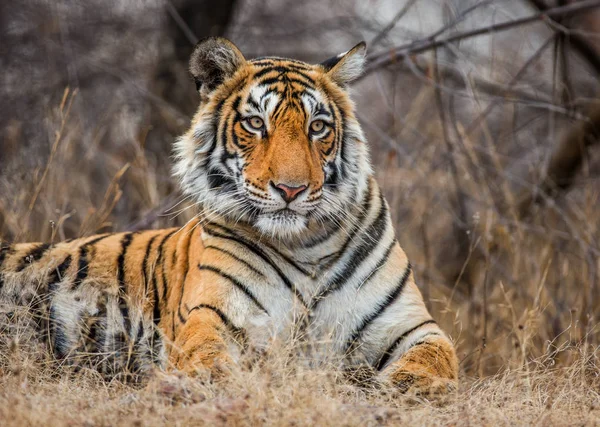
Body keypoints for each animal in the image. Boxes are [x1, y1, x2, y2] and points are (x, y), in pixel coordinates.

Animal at [0, 38, 458, 396]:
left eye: (317, 127)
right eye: (255, 123)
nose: (291, 190)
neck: (306, 245)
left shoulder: (410, 325)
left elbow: (437, 356)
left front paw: (407, 387)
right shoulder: (214, 316)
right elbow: (208, 356)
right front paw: (205, 382)